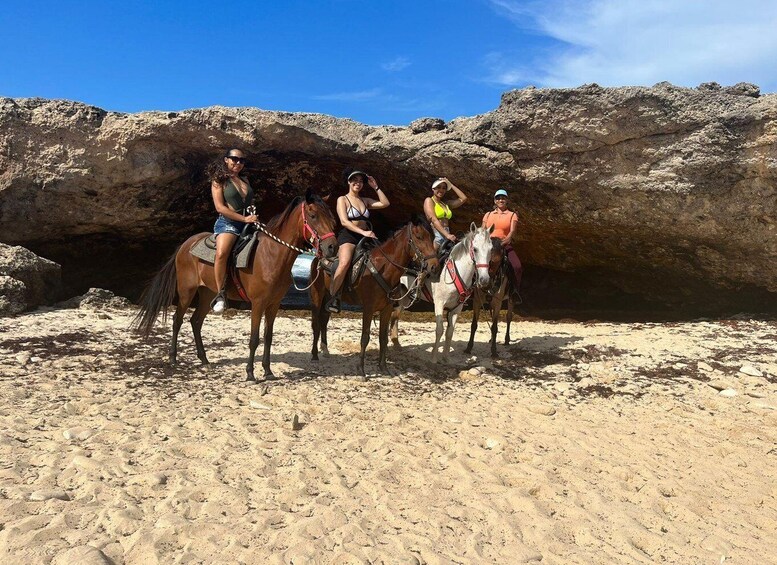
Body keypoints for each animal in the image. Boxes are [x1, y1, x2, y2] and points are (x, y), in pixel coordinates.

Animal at [133, 192, 336, 382]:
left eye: (330, 216)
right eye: (313, 215)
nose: (332, 247)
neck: (271, 255)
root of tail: (185, 245)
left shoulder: (274, 304)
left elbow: (268, 337)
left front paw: (268, 371)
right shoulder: (258, 304)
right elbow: (254, 339)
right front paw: (250, 373)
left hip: (208, 294)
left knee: (196, 321)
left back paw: (204, 359)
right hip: (186, 292)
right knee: (177, 320)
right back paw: (173, 358)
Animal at [310, 215, 442, 374]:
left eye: (433, 237)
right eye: (419, 237)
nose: (434, 266)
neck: (383, 268)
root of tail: (319, 257)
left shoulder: (387, 309)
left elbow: (383, 338)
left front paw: (383, 367)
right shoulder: (368, 308)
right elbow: (365, 337)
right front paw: (361, 369)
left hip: (329, 297)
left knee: (324, 320)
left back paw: (325, 350)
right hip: (317, 294)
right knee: (316, 323)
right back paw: (314, 355)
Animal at [392, 224, 494, 362]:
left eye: (491, 250)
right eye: (475, 249)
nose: (484, 280)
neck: (454, 273)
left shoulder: (457, 308)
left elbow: (450, 331)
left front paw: (446, 357)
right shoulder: (439, 304)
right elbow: (439, 330)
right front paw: (434, 357)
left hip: (405, 297)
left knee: (395, 316)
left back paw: (396, 343)